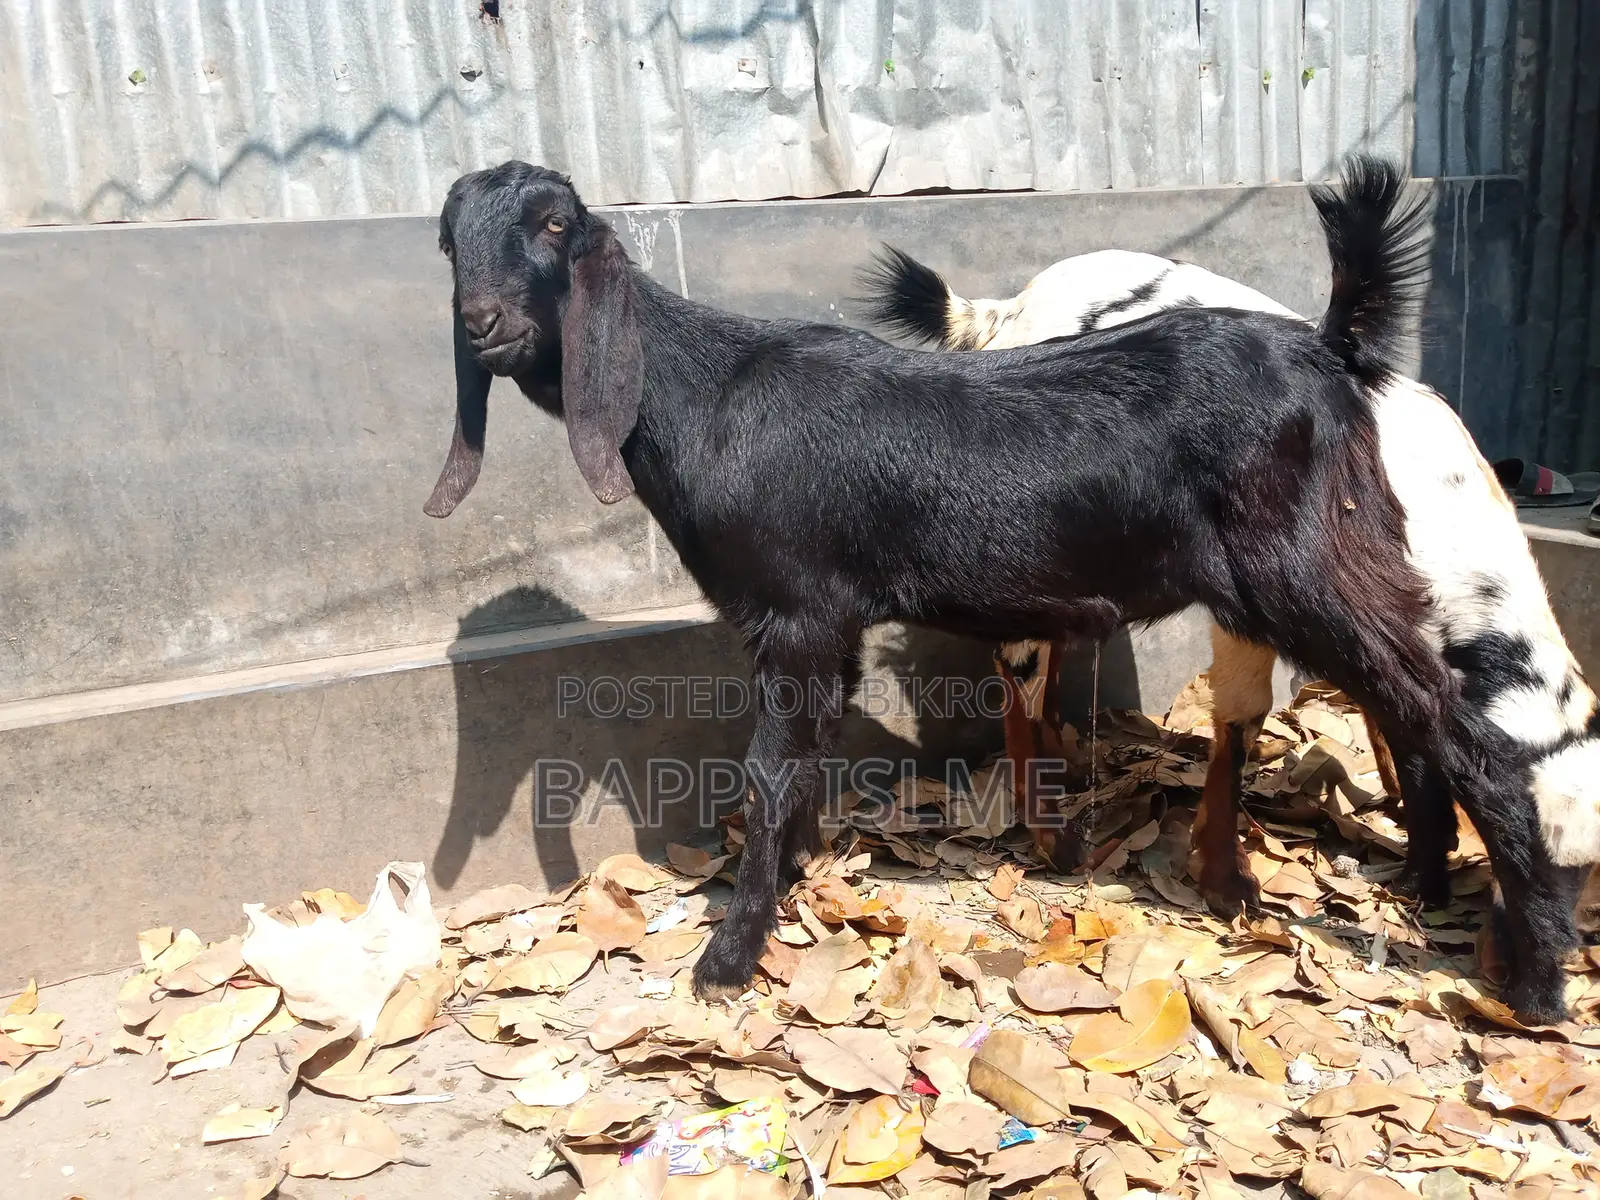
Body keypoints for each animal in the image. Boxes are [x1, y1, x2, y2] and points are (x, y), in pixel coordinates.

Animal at [860, 241, 1600, 932]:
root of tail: (1004, 310)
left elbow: (1396, 717)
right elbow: (1246, 718)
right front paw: (1229, 879)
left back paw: (1063, 760)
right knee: (1018, 671)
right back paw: (1047, 818)